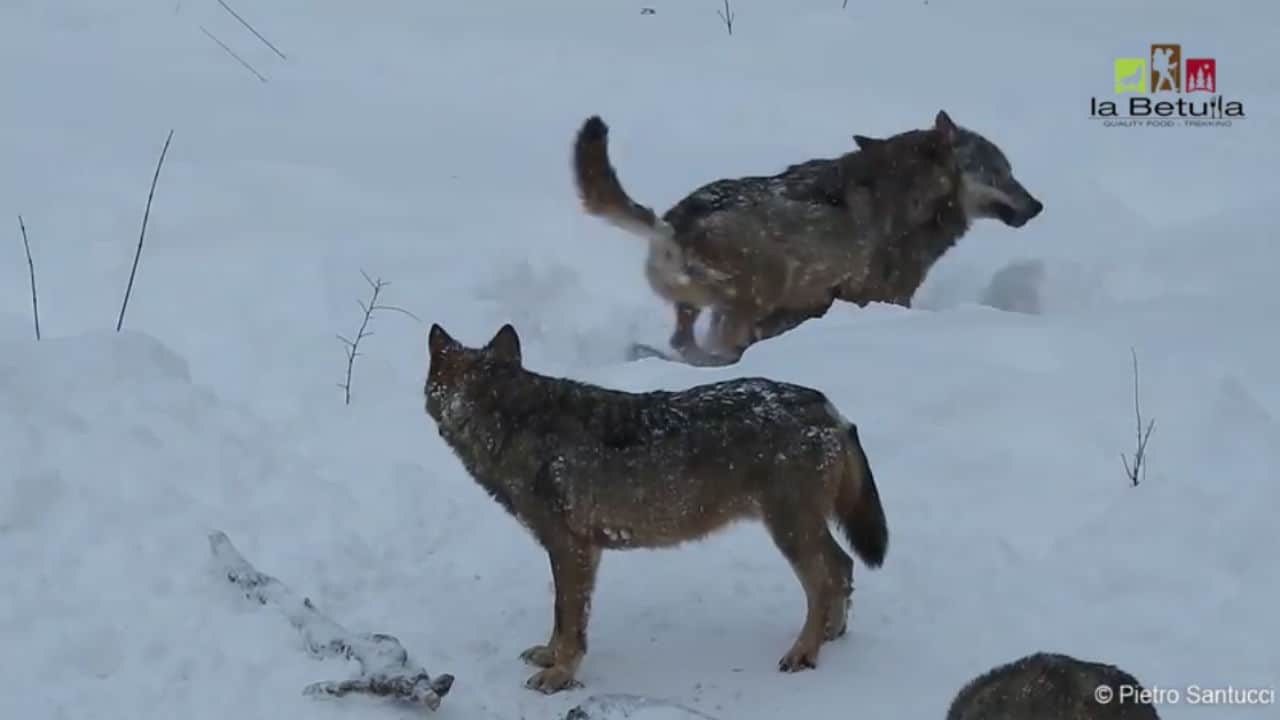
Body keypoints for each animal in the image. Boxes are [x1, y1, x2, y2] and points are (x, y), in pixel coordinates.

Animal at [424, 319, 885, 691]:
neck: (514, 421)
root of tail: (825, 406)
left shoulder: (571, 548)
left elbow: (569, 621)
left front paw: (560, 676)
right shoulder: (579, 551)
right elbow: (560, 619)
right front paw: (549, 657)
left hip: (788, 531)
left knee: (825, 581)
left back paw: (804, 652)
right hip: (800, 529)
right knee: (843, 566)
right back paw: (831, 635)